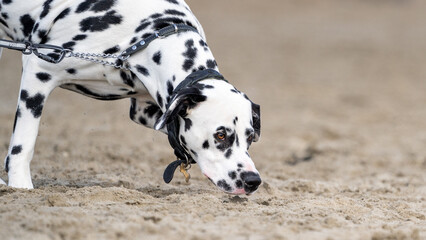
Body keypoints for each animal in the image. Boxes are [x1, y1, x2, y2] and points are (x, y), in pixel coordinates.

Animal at [0, 0, 262, 195]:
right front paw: (20, 186)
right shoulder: (38, 71)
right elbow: (24, 144)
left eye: (250, 137)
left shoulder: (145, 110)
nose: (253, 181)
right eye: (221, 135)